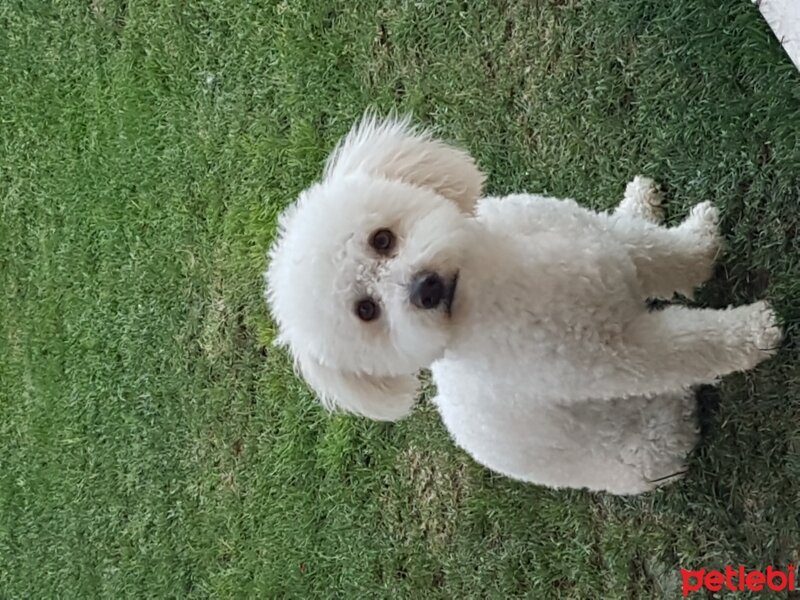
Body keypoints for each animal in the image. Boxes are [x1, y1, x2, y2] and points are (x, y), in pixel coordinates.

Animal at [266, 115, 784, 494]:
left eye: (381, 239)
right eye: (366, 311)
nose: (424, 288)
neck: (488, 279)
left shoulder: (609, 244)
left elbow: (664, 253)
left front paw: (702, 238)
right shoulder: (617, 354)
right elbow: (690, 344)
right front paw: (757, 332)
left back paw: (639, 200)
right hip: (649, 443)